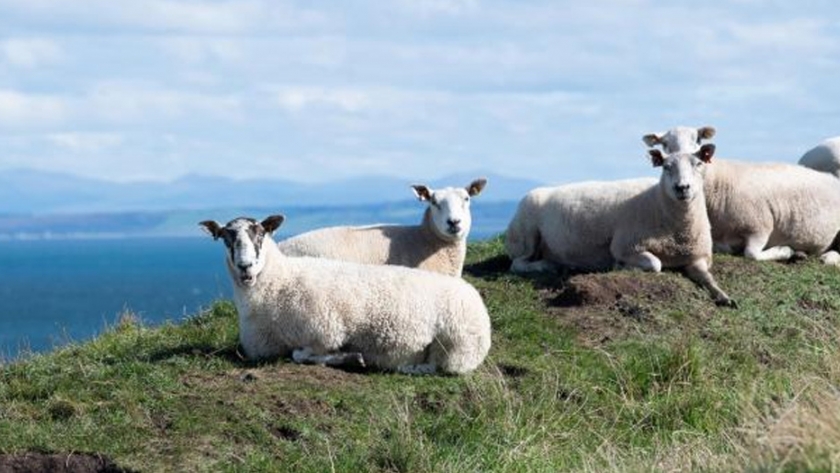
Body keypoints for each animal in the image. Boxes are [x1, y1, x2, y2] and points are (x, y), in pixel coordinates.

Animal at [200, 214, 492, 375]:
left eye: (260, 234)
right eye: (225, 238)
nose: (245, 265)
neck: (279, 281)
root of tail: (477, 301)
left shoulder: (325, 331)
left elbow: (301, 355)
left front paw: (351, 358)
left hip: (456, 346)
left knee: (442, 367)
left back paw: (408, 368)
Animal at [506, 145, 735, 306]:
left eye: (698, 164)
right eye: (666, 167)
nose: (682, 187)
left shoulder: (697, 257)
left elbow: (708, 277)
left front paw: (724, 296)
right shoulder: (625, 245)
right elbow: (656, 264)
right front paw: (620, 266)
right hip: (526, 234)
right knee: (517, 264)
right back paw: (548, 266)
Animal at [644, 126, 840, 264]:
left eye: (698, 139)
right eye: (665, 143)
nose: (683, 186)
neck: (719, 183)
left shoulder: (761, 226)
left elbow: (751, 254)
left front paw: (785, 251)